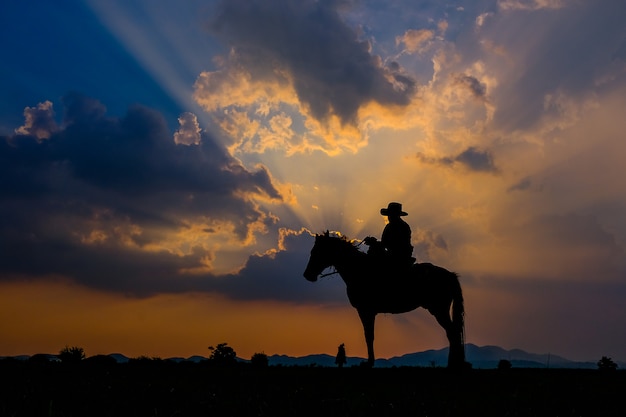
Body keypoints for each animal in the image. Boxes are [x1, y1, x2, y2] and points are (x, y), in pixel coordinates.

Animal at [302, 231, 464, 368]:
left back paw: (452, 365)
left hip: (439, 309)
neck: (358, 269)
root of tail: (450, 275)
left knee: (453, 333)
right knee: (453, 333)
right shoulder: (368, 311)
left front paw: (369, 363)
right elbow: (369, 336)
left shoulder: (365, 310)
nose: (307, 275)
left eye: (316, 252)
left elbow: (369, 336)